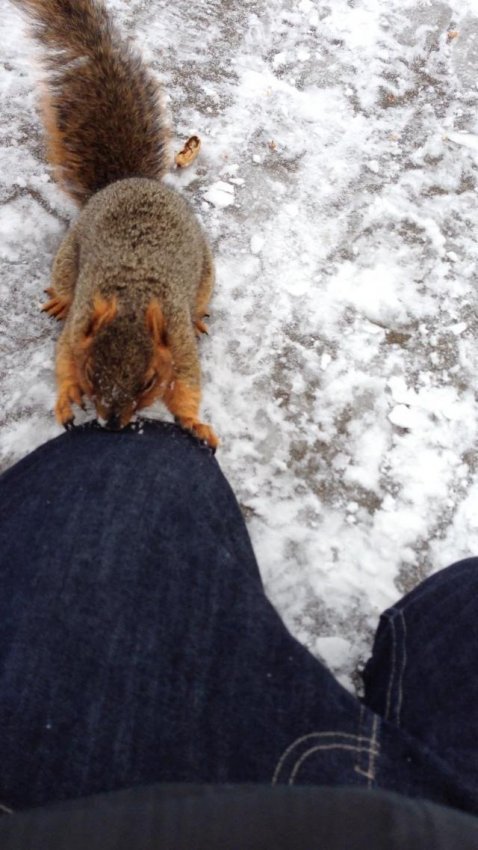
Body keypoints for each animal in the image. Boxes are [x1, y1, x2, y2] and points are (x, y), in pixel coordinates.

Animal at [11, 0, 218, 448]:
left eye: (148, 382)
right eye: (92, 372)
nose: (110, 423)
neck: (133, 301)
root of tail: (128, 180)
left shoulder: (179, 346)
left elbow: (187, 388)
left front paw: (194, 423)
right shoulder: (77, 331)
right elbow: (63, 362)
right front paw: (66, 399)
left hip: (206, 275)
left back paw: (199, 315)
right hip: (68, 257)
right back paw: (60, 299)